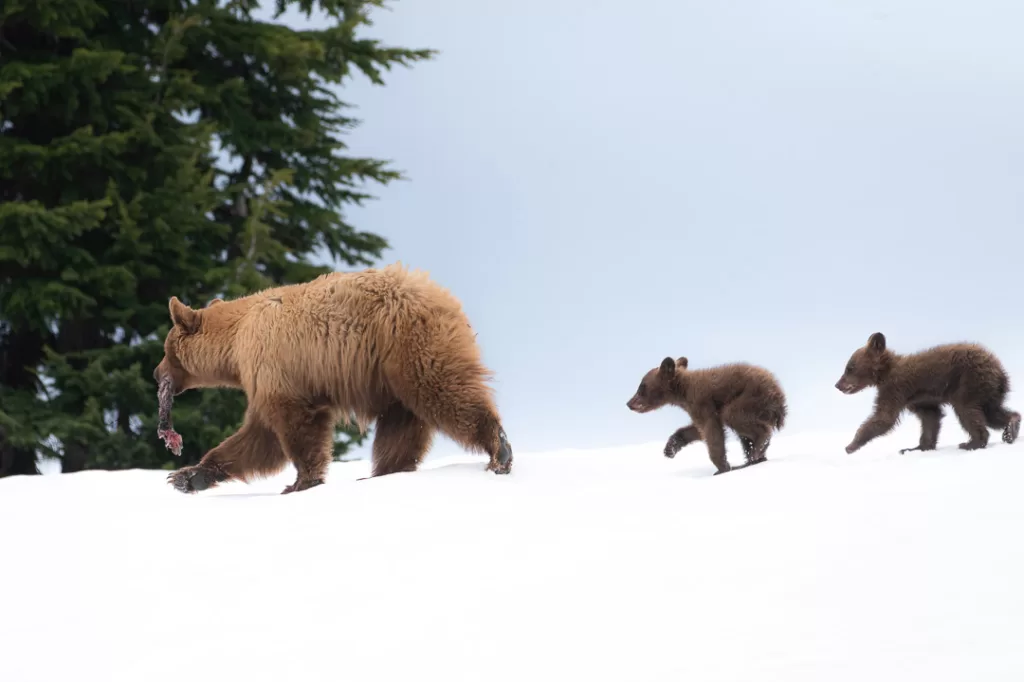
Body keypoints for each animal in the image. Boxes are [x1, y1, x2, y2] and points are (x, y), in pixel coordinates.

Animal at [153, 261, 512, 493]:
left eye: (167, 349)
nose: (156, 373)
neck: (236, 339)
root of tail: (445, 298)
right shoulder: (265, 378)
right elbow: (258, 436)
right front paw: (187, 476)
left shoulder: (275, 366)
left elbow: (290, 428)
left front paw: (301, 482)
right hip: (390, 376)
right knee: (400, 427)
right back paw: (382, 474)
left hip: (409, 344)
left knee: (444, 392)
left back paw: (500, 452)